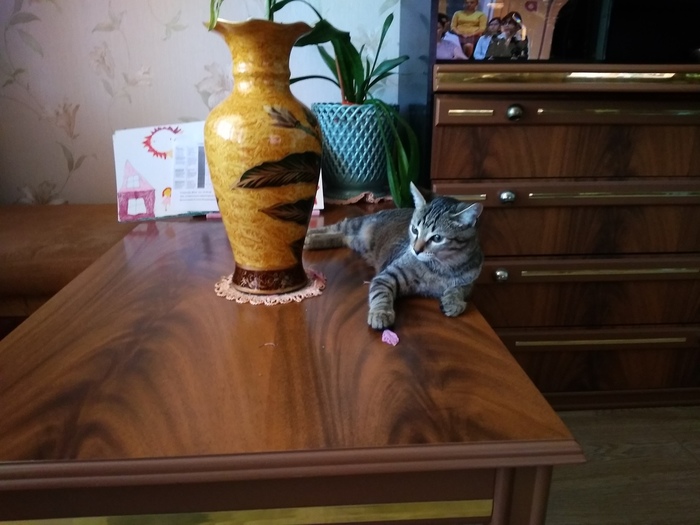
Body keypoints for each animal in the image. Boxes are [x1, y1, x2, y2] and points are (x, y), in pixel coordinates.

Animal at [304, 182, 484, 330]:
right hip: (356, 225)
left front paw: (454, 301)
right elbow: (381, 294)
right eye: (414, 230)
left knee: (341, 236)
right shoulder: (386, 276)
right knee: (336, 227)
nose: (415, 250)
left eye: (437, 238)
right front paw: (380, 313)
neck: (442, 267)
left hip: (356, 240)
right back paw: (309, 237)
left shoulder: (470, 281)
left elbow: (459, 289)